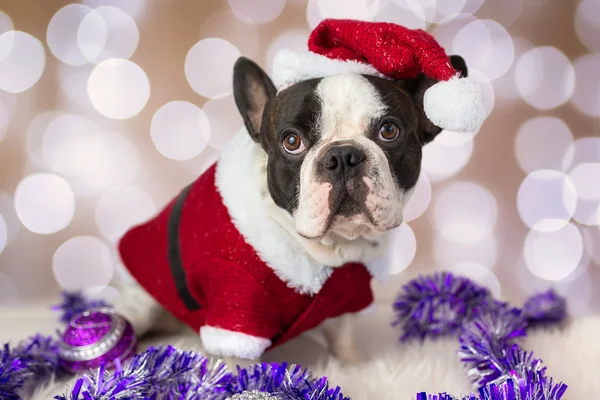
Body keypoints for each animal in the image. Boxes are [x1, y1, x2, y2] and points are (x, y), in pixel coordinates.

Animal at [111, 53, 468, 368]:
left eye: (389, 131)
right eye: (292, 142)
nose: (343, 156)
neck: (331, 249)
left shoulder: (349, 292)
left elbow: (344, 333)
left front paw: (354, 364)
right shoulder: (237, 303)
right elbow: (237, 356)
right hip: (142, 304)